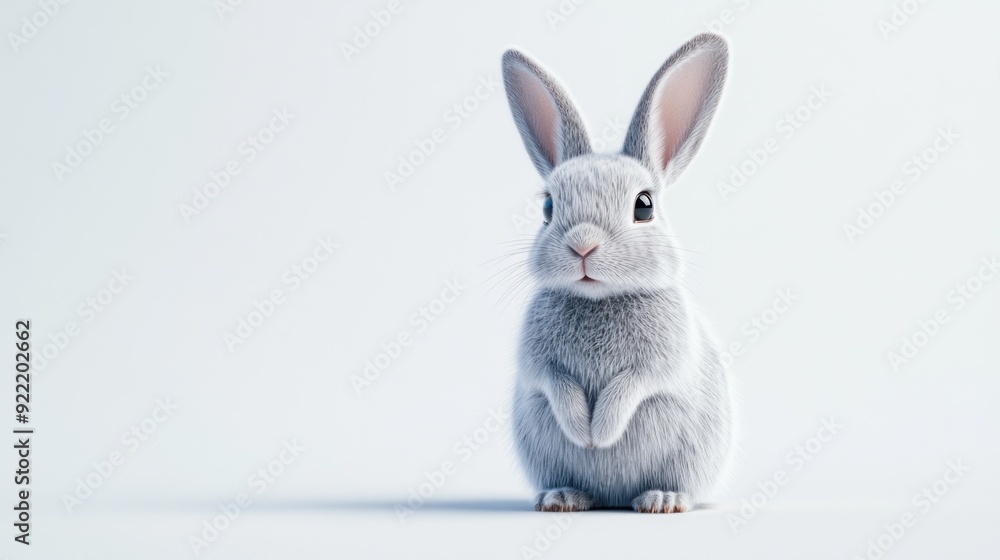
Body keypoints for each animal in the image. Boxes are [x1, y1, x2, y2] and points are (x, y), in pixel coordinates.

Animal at [503, 33, 735, 513]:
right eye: (548, 207)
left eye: (643, 206)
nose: (583, 244)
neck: (600, 297)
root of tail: (614, 499)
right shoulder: (539, 365)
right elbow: (556, 384)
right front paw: (585, 433)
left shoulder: (661, 362)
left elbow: (632, 386)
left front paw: (601, 432)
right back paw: (562, 496)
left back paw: (662, 499)